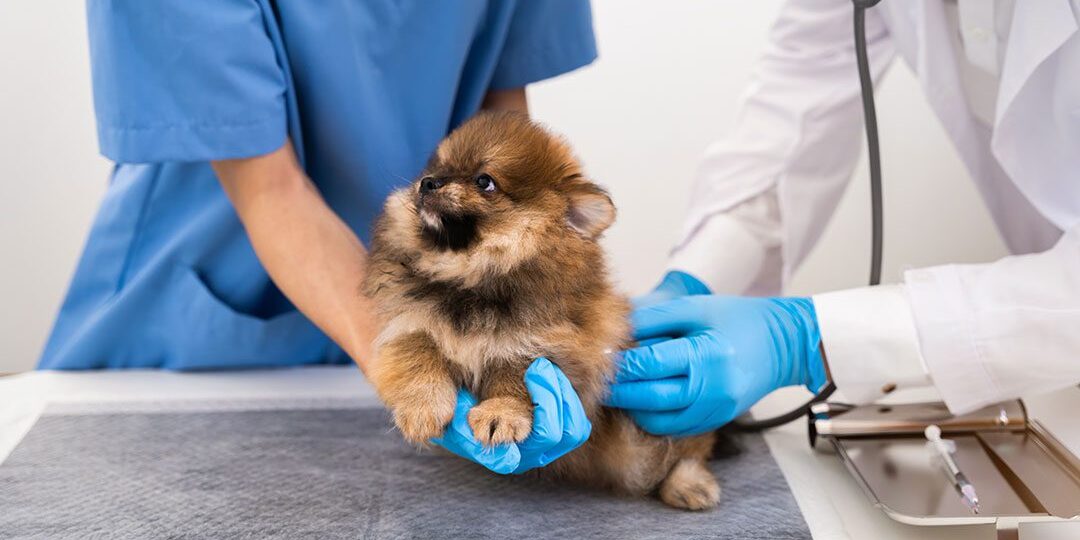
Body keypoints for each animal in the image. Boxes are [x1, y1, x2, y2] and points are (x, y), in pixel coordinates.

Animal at [360, 111, 717, 507]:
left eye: (484, 181)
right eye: (439, 168)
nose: (427, 183)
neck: (469, 278)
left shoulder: (543, 344)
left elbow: (513, 377)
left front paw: (501, 415)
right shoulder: (409, 323)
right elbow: (418, 358)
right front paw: (421, 409)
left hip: (645, 436)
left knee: (688, 449)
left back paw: (690, 485)